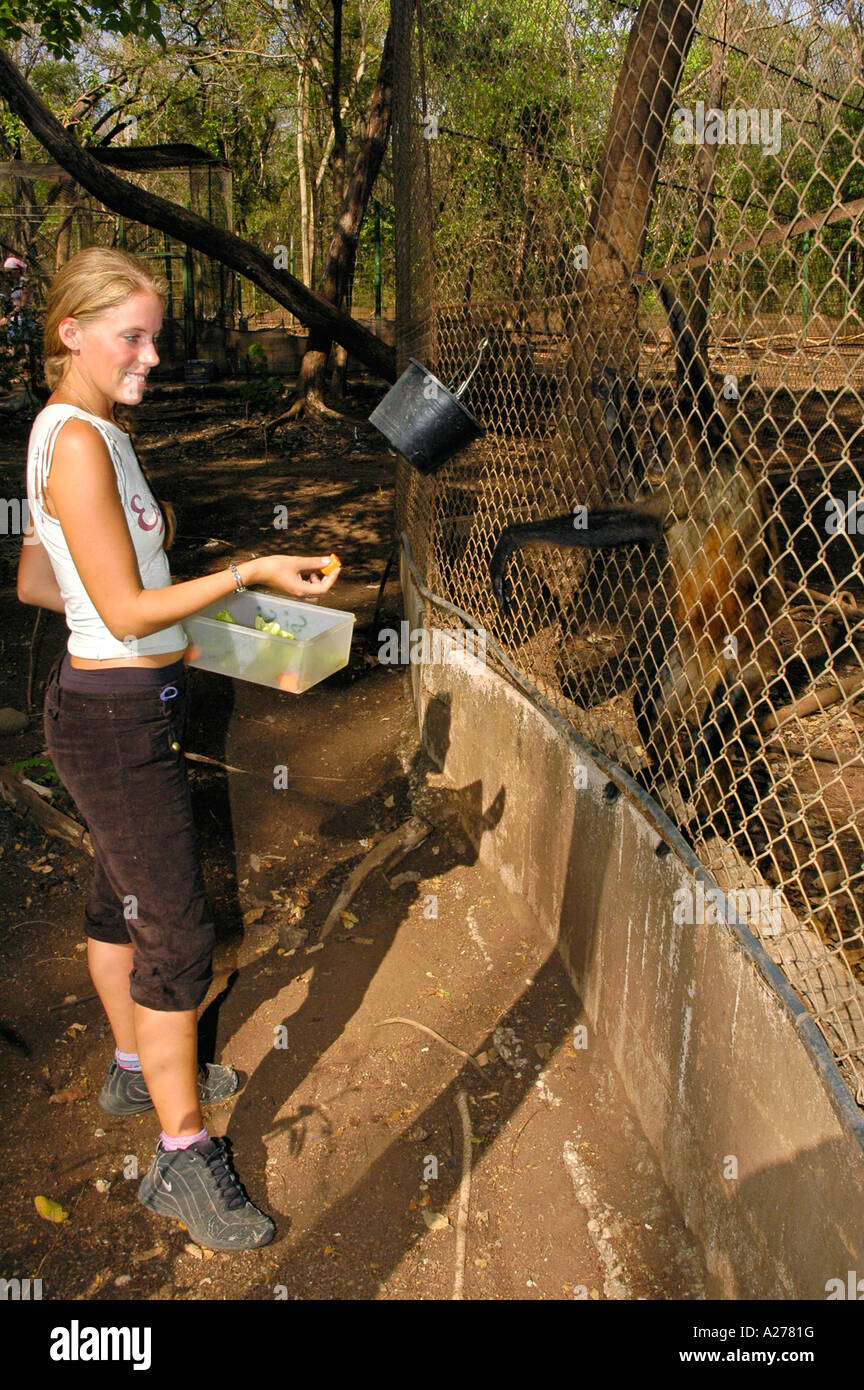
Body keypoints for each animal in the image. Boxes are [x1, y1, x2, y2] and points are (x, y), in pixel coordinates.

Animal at [488, 280, 811, 828]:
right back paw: (660, 779)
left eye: (662, 435)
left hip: (744, 672)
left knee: (714, 732)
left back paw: (695, 808)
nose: (657, 451)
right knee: (654, 699)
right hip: (687, 665)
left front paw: (670, 292)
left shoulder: (709, 472)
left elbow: (696, 391)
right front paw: (615, 404)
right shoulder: (693, 476)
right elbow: (639, 514)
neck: (707, 462)